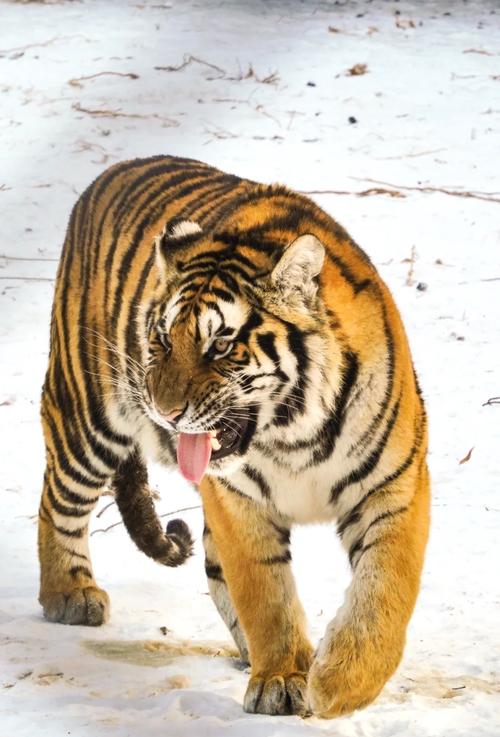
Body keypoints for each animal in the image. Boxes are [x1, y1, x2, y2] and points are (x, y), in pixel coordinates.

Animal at [38, 155, 430, 718]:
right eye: (163, 338)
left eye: (220, 345)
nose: (165, 411)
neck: (294, 434)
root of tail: (112, 170)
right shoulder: (238, 500)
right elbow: (265, 591)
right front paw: (284, 678)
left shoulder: (394, 487)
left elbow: (385, 590)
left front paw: (340, 683)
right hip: (86, 415)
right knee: (57, 502)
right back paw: (69, 594)